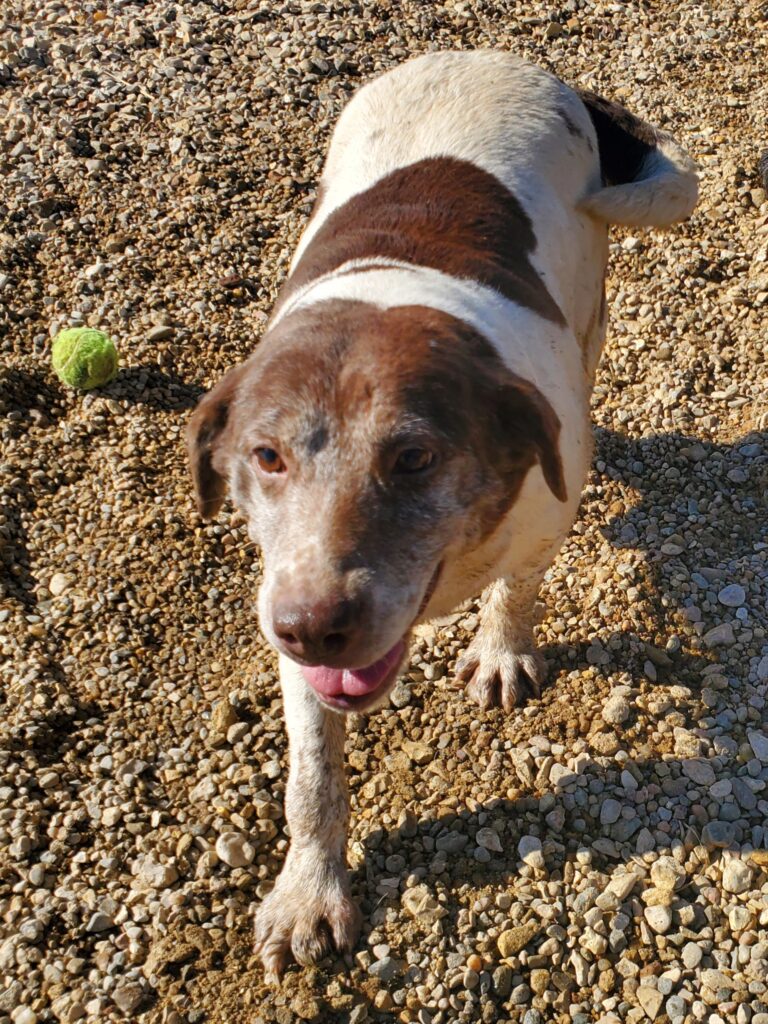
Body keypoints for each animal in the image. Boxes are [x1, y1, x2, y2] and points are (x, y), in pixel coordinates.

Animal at [186, 49, 696, 974]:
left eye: (414, 458)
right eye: (266, 457)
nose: (314, 627)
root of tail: (498, 55)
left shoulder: (542, 519)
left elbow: (517, 594)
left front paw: (500, 650)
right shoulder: (288, 618)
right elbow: (312, 781)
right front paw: (307, 891)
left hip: (593, 307)